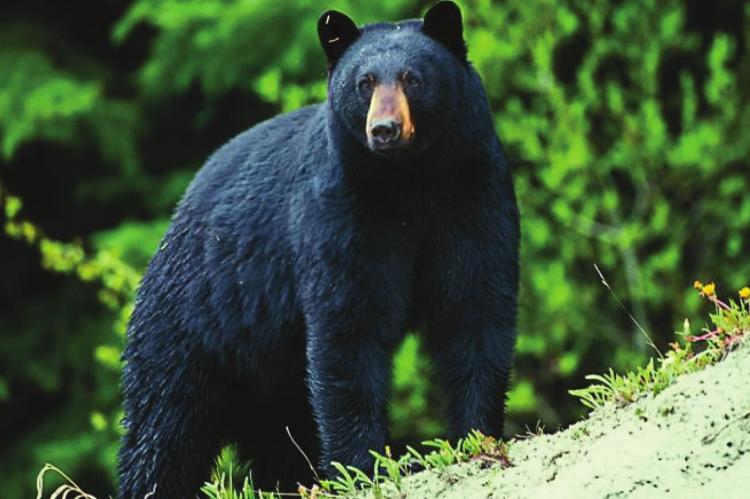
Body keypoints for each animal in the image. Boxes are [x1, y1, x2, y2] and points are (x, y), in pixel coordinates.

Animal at [117, 1, 519, 497]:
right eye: (364, 82)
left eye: (413, 78)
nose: (384, 130)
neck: (410, 181)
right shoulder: (341, 213)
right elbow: (348, 327)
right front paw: (362, 465)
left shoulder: (472, 194)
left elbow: (474, 304)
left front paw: (476, 436)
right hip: (194, 323)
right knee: (164, 423)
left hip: (267, 372)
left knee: (277, 433)